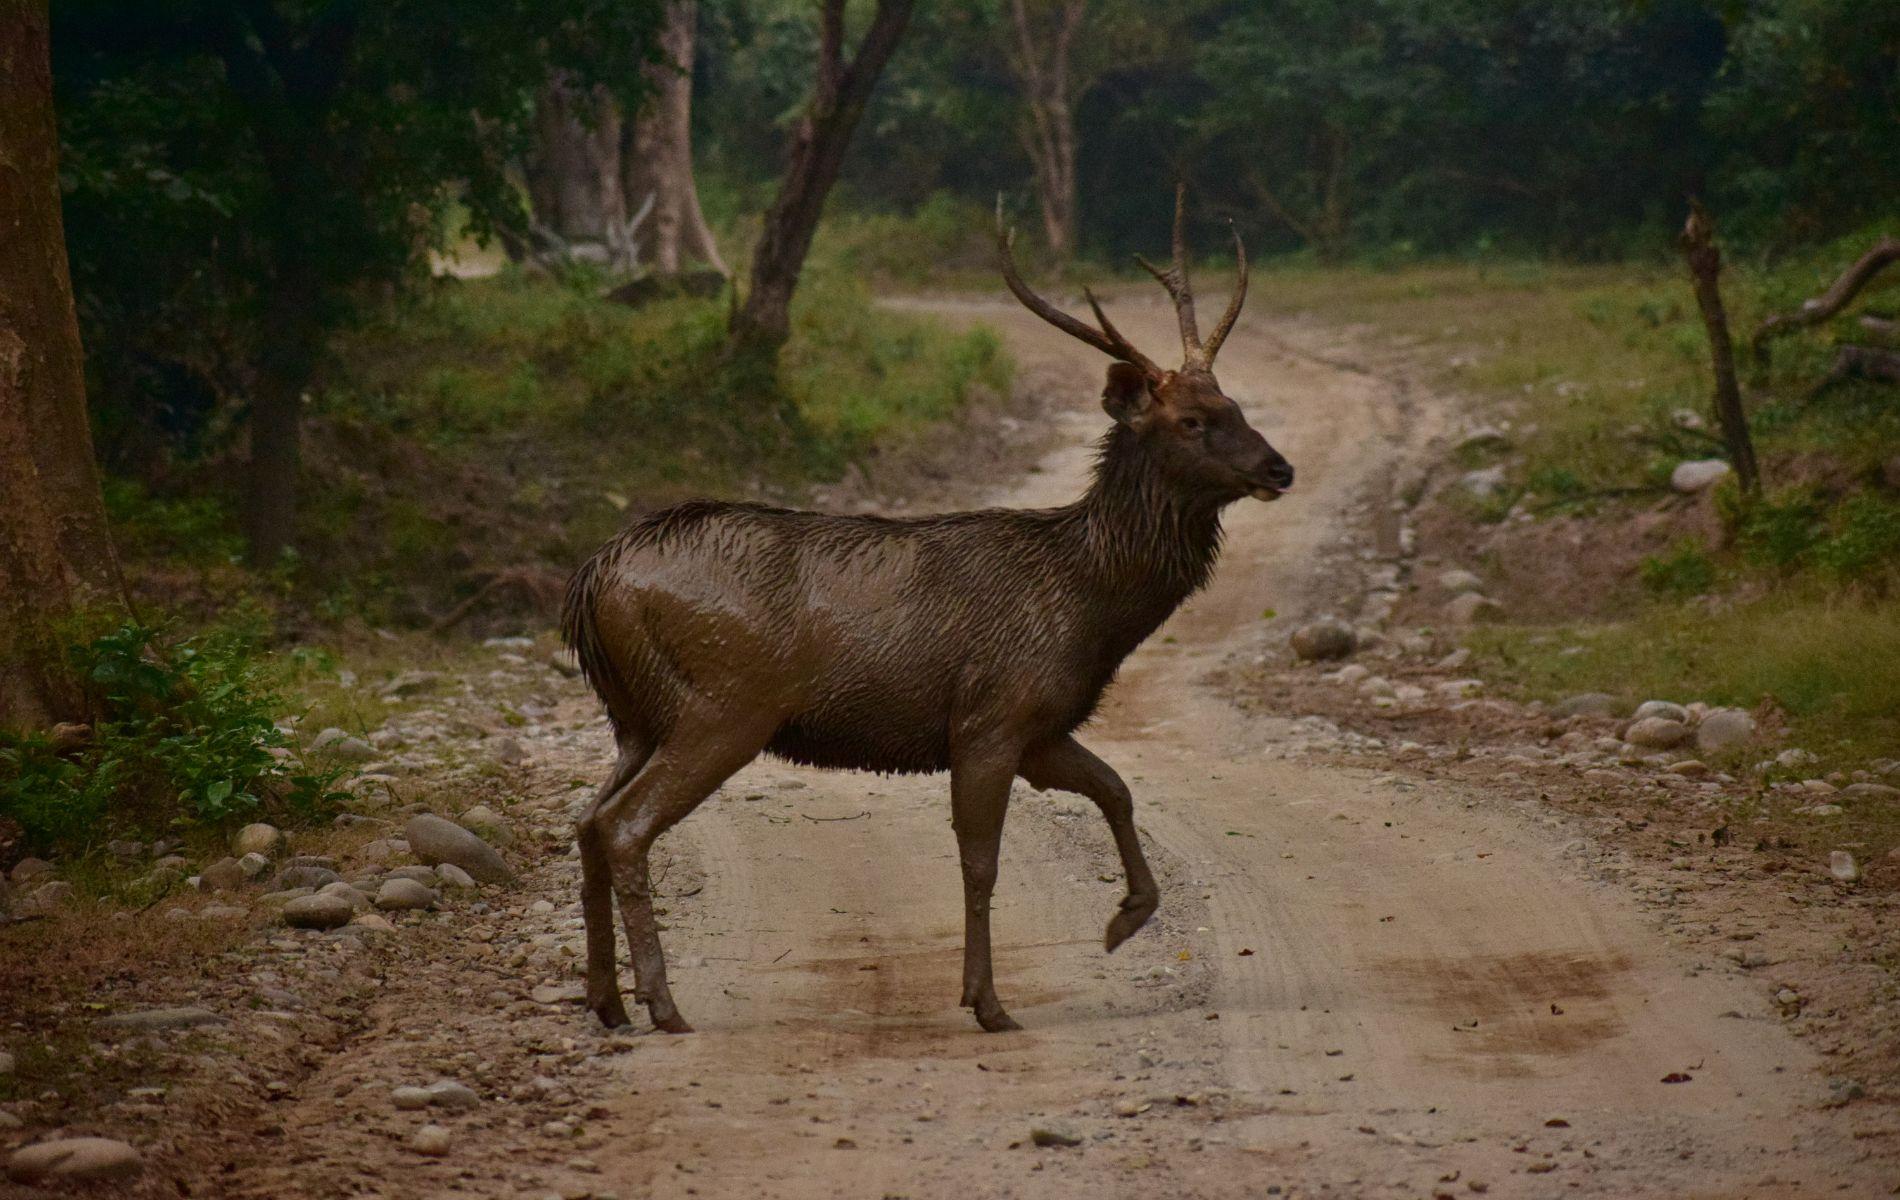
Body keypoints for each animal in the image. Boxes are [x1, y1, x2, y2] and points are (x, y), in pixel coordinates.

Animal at [562, 185, 1292, 1032]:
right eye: (1191, 422)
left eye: (1232, 402)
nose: (1280, 467)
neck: (1088, 606)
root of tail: (595, 579)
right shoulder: (990, 716)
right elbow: (981, 861)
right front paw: (987, 1001)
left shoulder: (1041, 728)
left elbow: (1115, 786)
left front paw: (1126, 917)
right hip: (721, 704)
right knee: (624, 827)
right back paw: (663, 1003)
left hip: (636, 715)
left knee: (587, 822)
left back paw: (608, 1000)